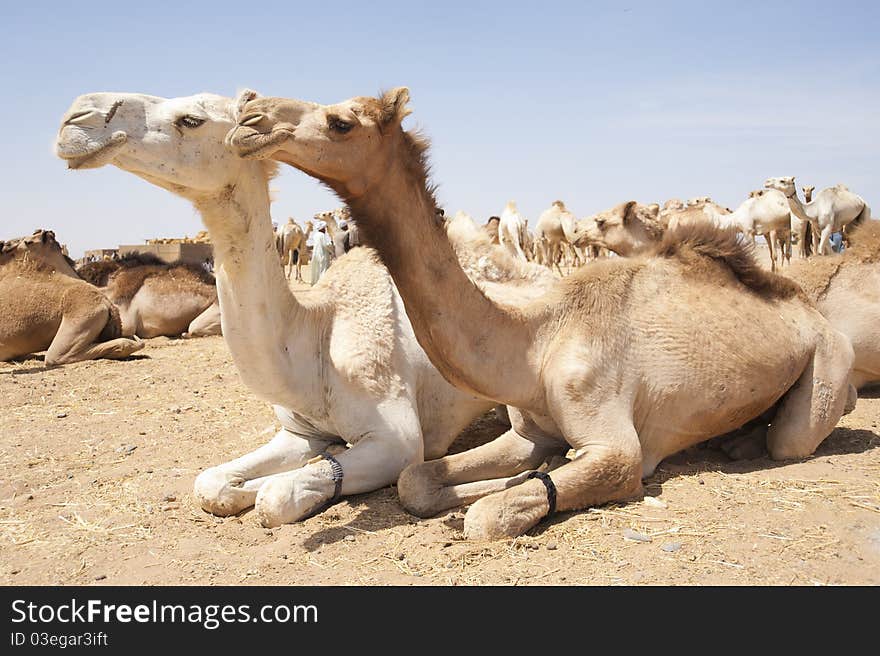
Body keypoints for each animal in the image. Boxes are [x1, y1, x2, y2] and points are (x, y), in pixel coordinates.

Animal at [230, 87, 856, 540]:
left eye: (340, 121)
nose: (250, 114)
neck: (536, 342)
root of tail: (808, 310)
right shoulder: (528, 430)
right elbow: (416, 480)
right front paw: (512, 477)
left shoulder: (618, 447)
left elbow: (490, 517)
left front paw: (515, 490)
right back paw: (736, 440)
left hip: (829, 361)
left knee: (793, 437)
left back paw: (748, 443)